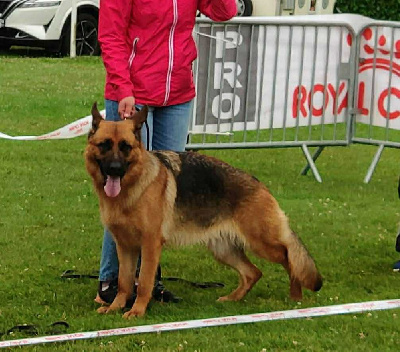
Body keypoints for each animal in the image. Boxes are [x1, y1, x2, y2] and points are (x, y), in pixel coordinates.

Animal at [84, 102, 322, 320]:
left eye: (125, 147)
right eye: (104, 145)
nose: (115, 169)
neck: (133, 187)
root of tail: (259, 184)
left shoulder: (150, 244)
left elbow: (143, 282)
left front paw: (137, 311)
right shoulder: (125, 246)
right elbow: (124, 281)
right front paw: (115, 307)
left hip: (262, 243)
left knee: (289, 256)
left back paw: (296, 294)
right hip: (223, 248)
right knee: (253, 272)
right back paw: (232, 299)